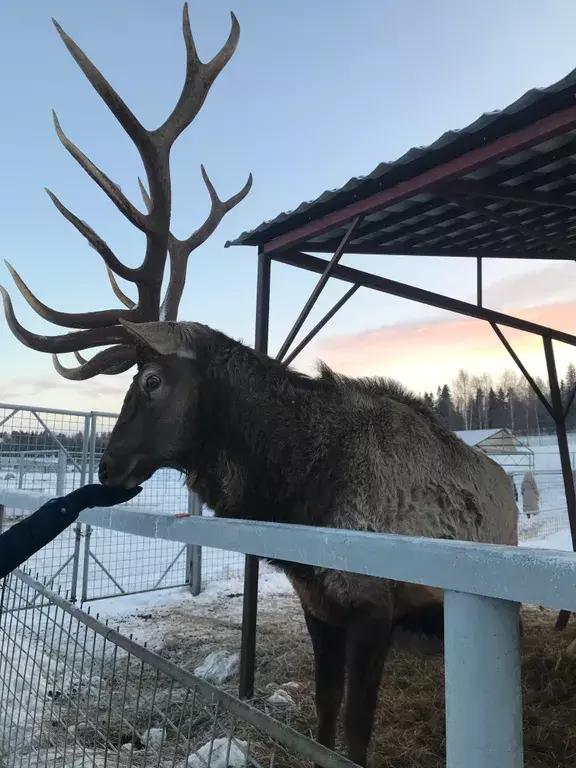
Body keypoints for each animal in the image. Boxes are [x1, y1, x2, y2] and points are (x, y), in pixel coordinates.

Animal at [0, 7, 520, 768]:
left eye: (150, 379)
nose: (108, 463)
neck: (299, 494)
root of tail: (509, 487)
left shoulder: (373, 604)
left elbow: (354, 733)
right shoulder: (317, 602)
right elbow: (324, 721)